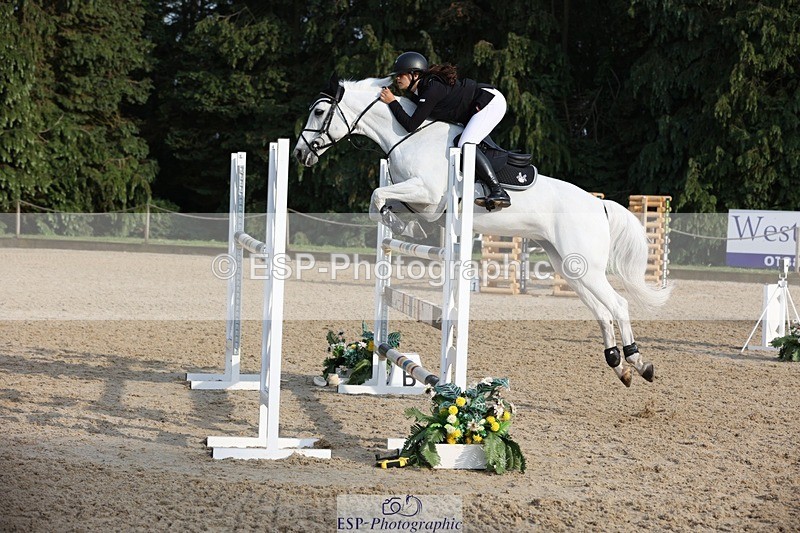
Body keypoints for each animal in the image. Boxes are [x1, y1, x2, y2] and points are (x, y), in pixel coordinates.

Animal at [293, 75, 673, 387]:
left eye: (320, 111)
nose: (299, 153)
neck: (407, 135)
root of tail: (599, 206)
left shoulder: (428, 194)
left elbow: (378, 196)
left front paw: (401, 225)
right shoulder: (420, 199)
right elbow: (382, 201)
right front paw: (400, 224)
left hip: (586, 267)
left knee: (618, 304)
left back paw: (639, 362)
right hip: (569, 266)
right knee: (601, 311)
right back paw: (619, 365)